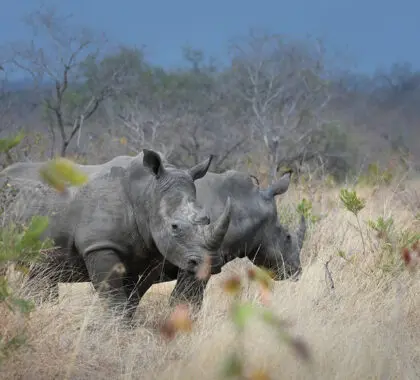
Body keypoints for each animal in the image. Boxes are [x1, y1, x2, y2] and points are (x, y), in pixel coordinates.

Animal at [0, 150, 231, 320]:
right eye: (174, 227)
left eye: (207, 219)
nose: (212, 262)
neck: (147, 194)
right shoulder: (100, 245)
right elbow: (114, 299)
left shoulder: (151, 252)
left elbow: (132, 299)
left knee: (41, 270)